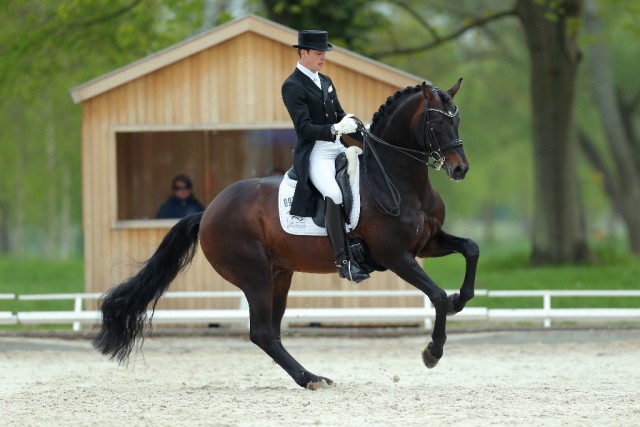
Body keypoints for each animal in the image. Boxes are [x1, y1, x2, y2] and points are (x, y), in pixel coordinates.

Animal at [92, 80, 478, 392]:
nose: (460, 169)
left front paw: (461, 299)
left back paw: (310, 378)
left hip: (280, 274)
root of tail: (208, 211)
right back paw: (311, 379)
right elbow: (437, 296)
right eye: (436, 122)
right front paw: (432, 352)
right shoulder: (395, 255)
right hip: (255, 275)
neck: (396, 178)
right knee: (262, 332)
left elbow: (470, 249)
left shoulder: (426, 244)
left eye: (457, 119)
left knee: (271, 332)